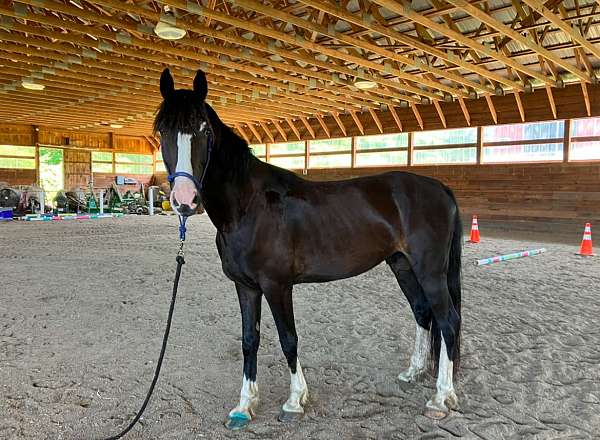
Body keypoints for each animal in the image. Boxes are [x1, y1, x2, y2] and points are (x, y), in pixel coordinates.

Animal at [155, 69, 464, 430]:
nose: (185, 200)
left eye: (204, 130)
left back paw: (441, 398)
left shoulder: (277, 286)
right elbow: (249, 341)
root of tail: (440, 188)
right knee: (423, 312)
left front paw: (294, 401)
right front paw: (244, 406)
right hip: (401, 264)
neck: (249, 205)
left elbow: (289, 339)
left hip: (430, 271)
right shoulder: (246, 287)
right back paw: (414, 372)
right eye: (162, 131)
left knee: (448, 321)